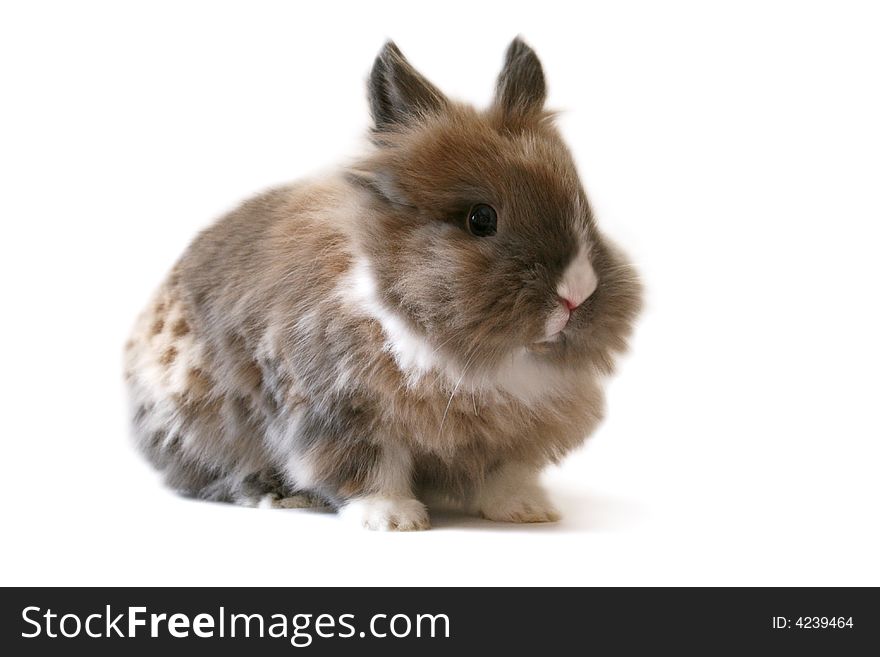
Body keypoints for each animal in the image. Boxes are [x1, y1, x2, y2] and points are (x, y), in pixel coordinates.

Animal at [124, 37, 644, 528]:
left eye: (584, 208)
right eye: (481, 219)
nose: (575, 295)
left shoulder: (510, 431)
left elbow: (504, 473)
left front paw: (526, 510)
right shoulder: (339, 412)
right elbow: (370, 467)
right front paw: (392, 518)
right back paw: (282, 496)